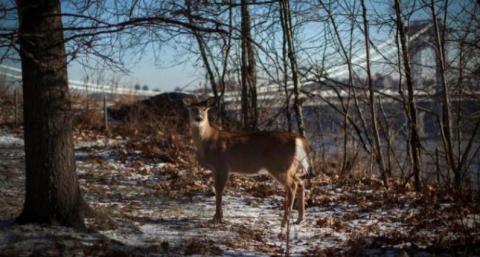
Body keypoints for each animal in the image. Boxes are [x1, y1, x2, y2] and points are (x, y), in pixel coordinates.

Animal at [183, 97, 312, 225]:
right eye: (193, 109)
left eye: (205, 109)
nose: (199, 118)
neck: (207, 140)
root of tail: (298, 139)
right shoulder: (215, 169)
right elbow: (216, 189)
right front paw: (217, 217)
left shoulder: (222, 165)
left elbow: (219, 190)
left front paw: (217, 218)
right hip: (291, 166)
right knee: (300, 182)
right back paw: (299, 218)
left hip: (279, 165)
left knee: (292, 185)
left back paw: (285, 221)